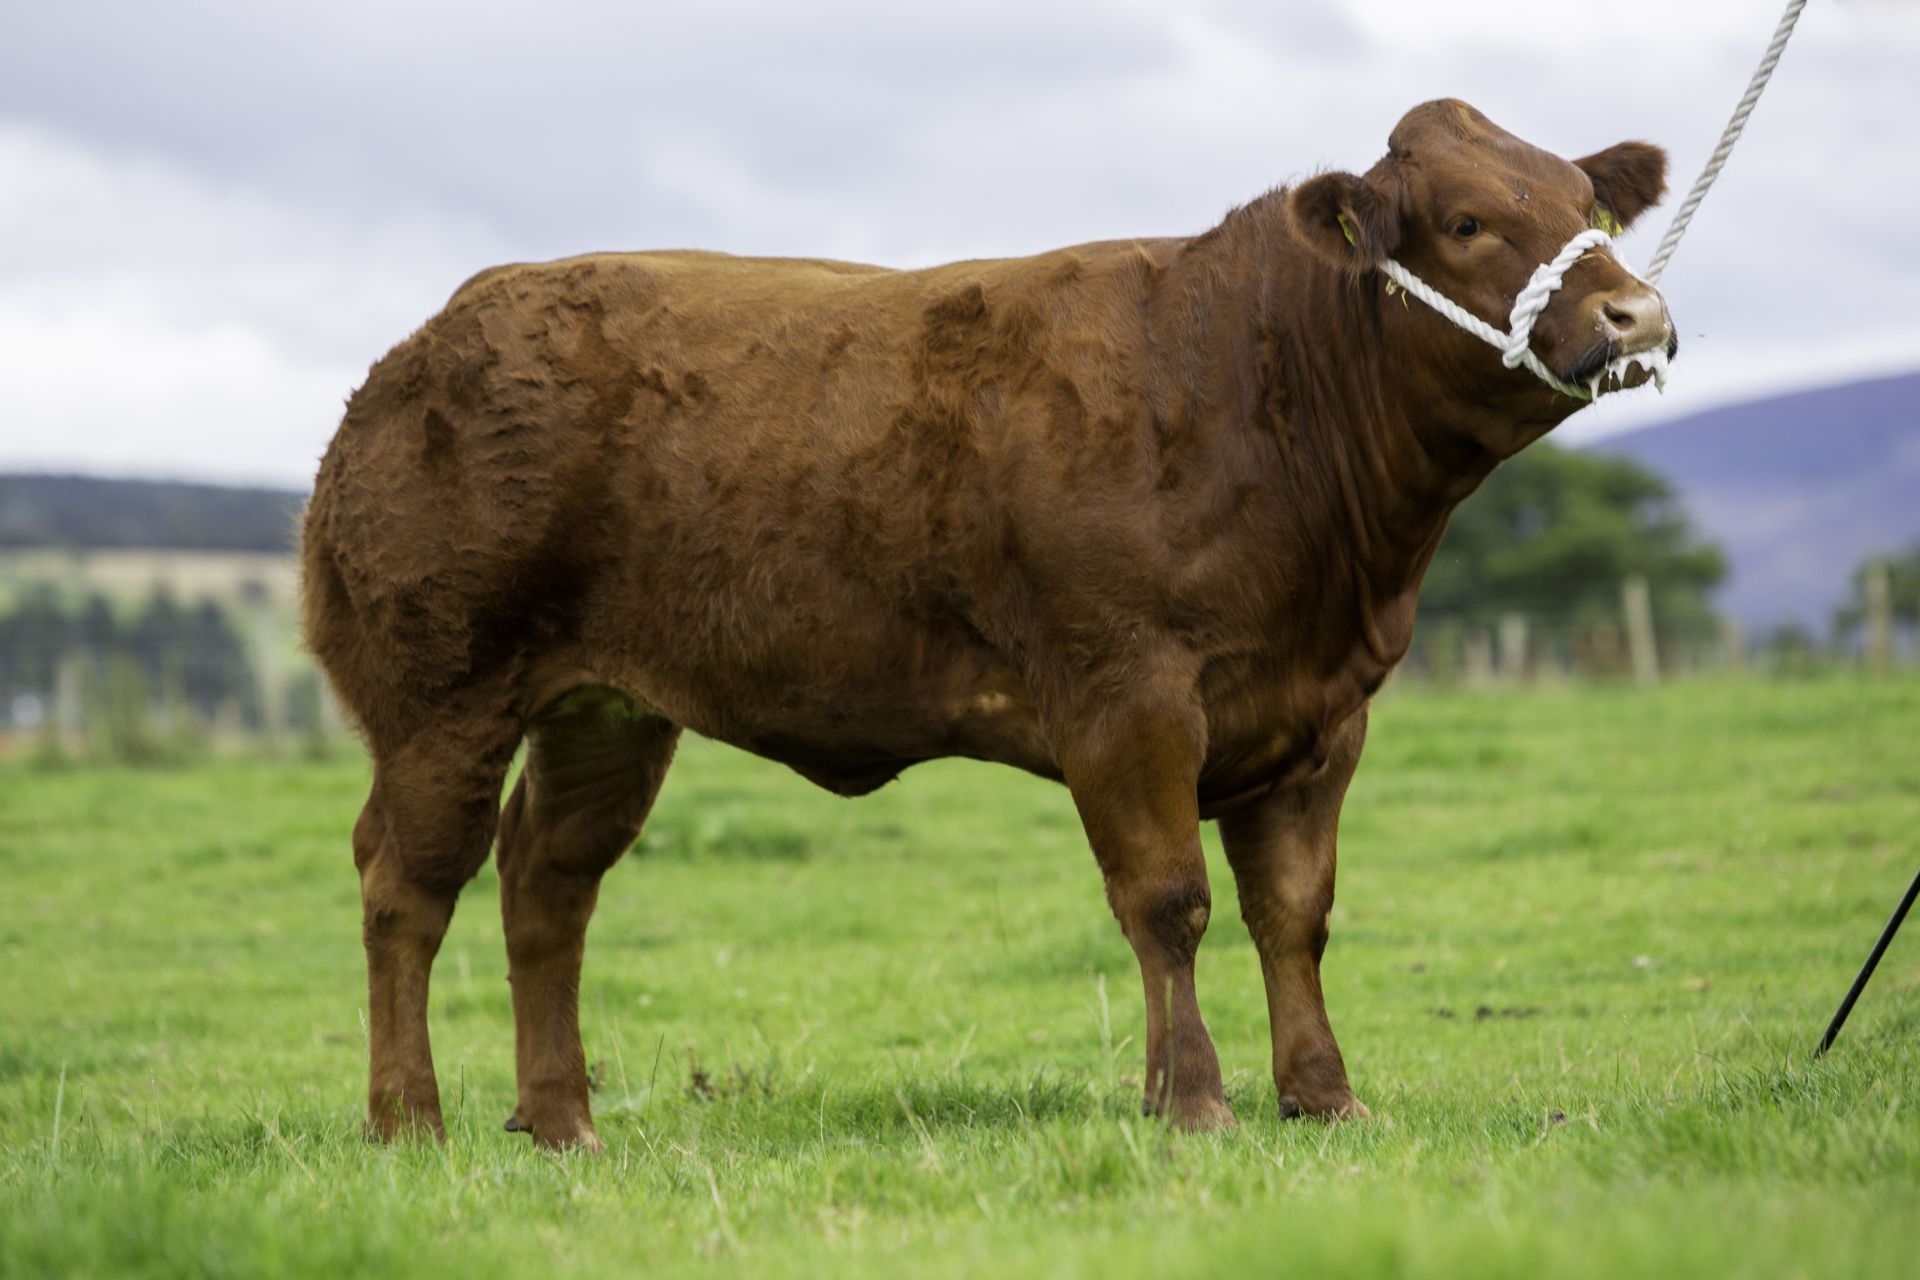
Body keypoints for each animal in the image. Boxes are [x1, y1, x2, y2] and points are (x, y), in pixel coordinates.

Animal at [307, 94, 1674, 1143]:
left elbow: (1295, 911)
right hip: (444, 695)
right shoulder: (1126, 695)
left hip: (605, 709)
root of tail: (422, 349)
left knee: (548, 880)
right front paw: (1195, 1103)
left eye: (1590, 210)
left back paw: (561, 1122)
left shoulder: (1321, 717)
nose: (1638, 315)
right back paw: (409, 1120)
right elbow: (1168, 899)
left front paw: (1323, 1097)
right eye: (1468, 221)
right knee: (406, 882)